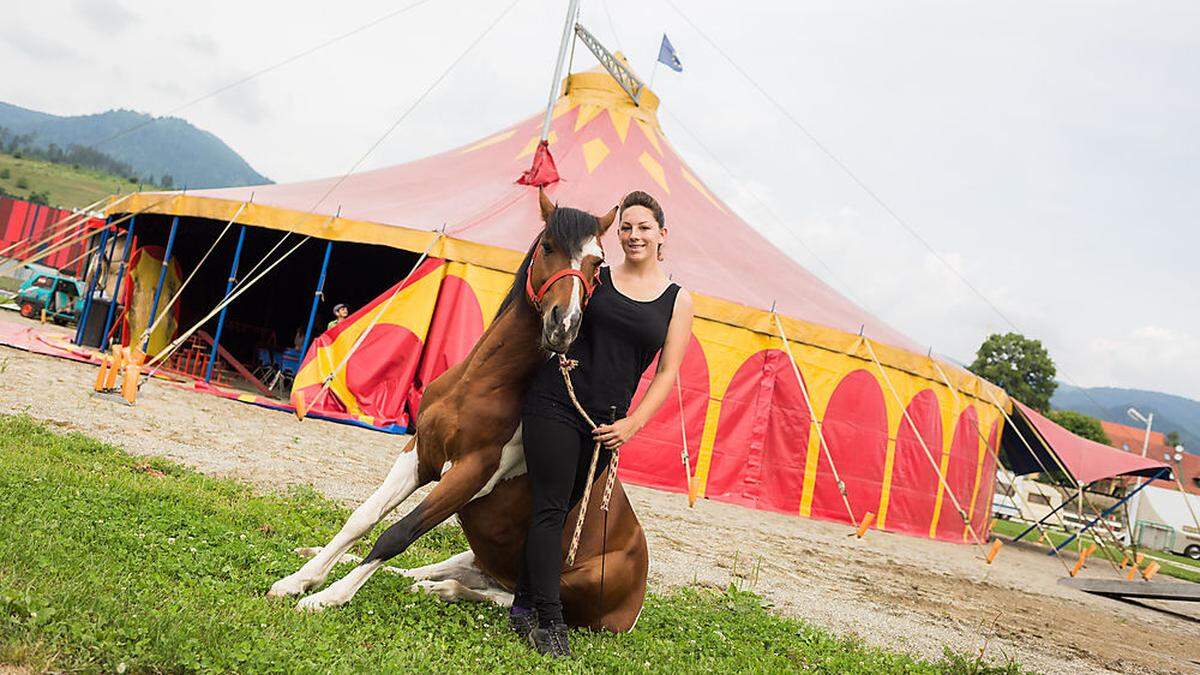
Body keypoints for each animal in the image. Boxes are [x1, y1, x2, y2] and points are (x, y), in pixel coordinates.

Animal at [268, 189, 652, 629]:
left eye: (597, 262)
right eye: (549, 246)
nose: (564, 325)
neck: (477, 386)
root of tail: (636, 600)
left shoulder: (470, 476)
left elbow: (397, 534)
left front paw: (327, 597)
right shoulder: (419, 454)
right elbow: (364, 516)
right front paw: (299, 580)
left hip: (566, 588)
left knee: (502, 598)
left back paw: (442, 592)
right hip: (479, 556)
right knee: (435, 570)